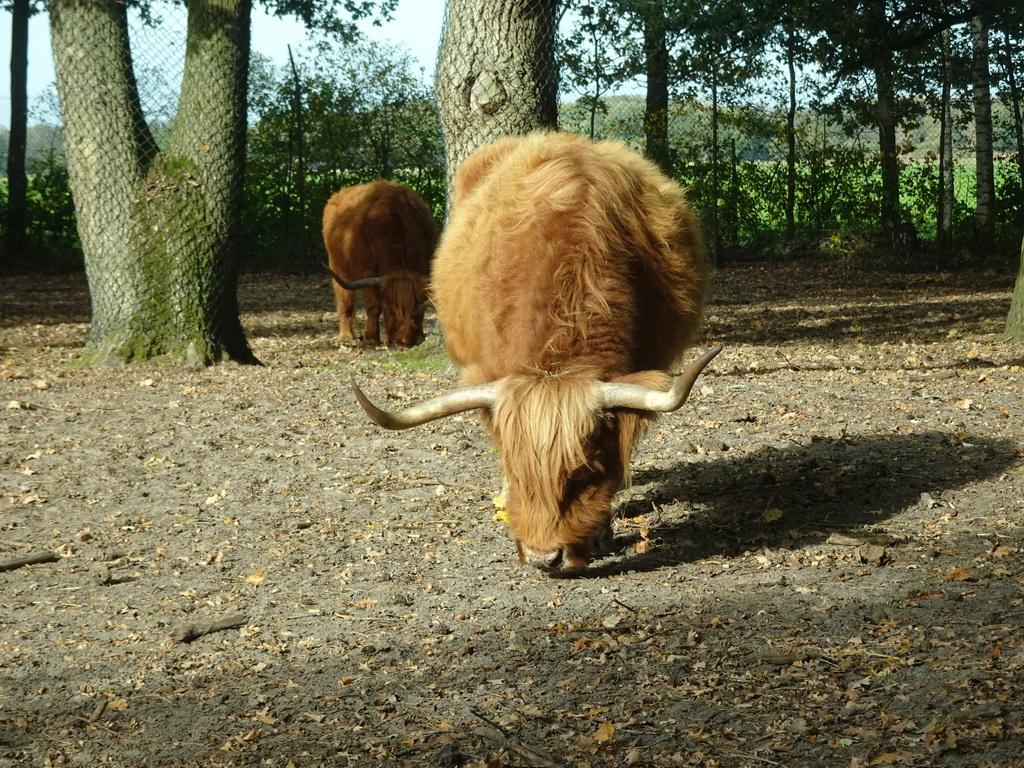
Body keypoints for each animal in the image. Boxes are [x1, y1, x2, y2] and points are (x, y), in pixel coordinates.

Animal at [321, 179, 438, 348]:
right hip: (338, 267)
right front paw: (371, 337)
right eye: (389, 311)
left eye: (417, 311)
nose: (404, 341)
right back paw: (346, 335)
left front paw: (421, 337)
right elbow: (374, 306)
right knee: (344, 299)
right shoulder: (367, 272)